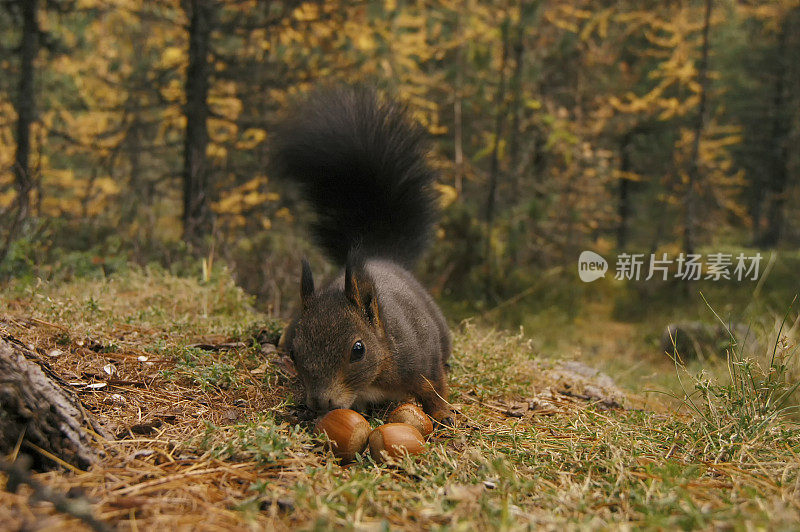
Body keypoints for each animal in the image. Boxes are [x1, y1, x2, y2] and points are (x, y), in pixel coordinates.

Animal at [272, 89, 454, 426]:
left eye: (359, 350)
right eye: (294, 352)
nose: (320, 402)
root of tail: (380, 256)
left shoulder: (422, 361)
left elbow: (434, 387)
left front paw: (443, 412)